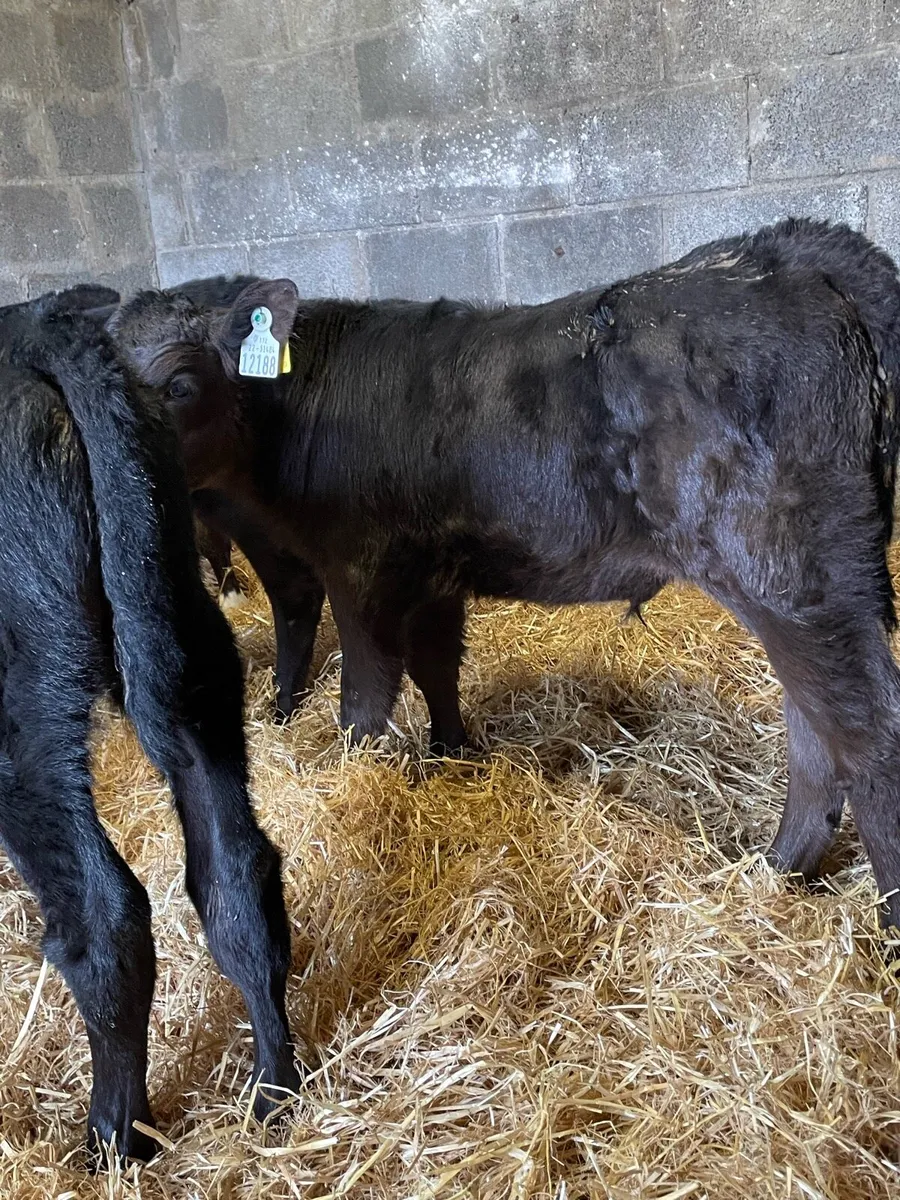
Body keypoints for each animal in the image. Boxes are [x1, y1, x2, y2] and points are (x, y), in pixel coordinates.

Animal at [0, 288, 300, 1161]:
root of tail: (35, 330)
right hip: (187, 633)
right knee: (234, 871)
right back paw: (275, 1090)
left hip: (20, 705)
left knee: (105, 920)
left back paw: (114, 1136)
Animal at [110, 218, 900, 929]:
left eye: (179, 384)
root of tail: (783, 249)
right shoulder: (433, 572)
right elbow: (436, 667)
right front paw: (454, 754)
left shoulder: (360, 570)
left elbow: (363, 699)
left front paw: (359, 772)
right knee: (815, 731)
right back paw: (777, 871)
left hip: (789, 573)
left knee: (867, 734)